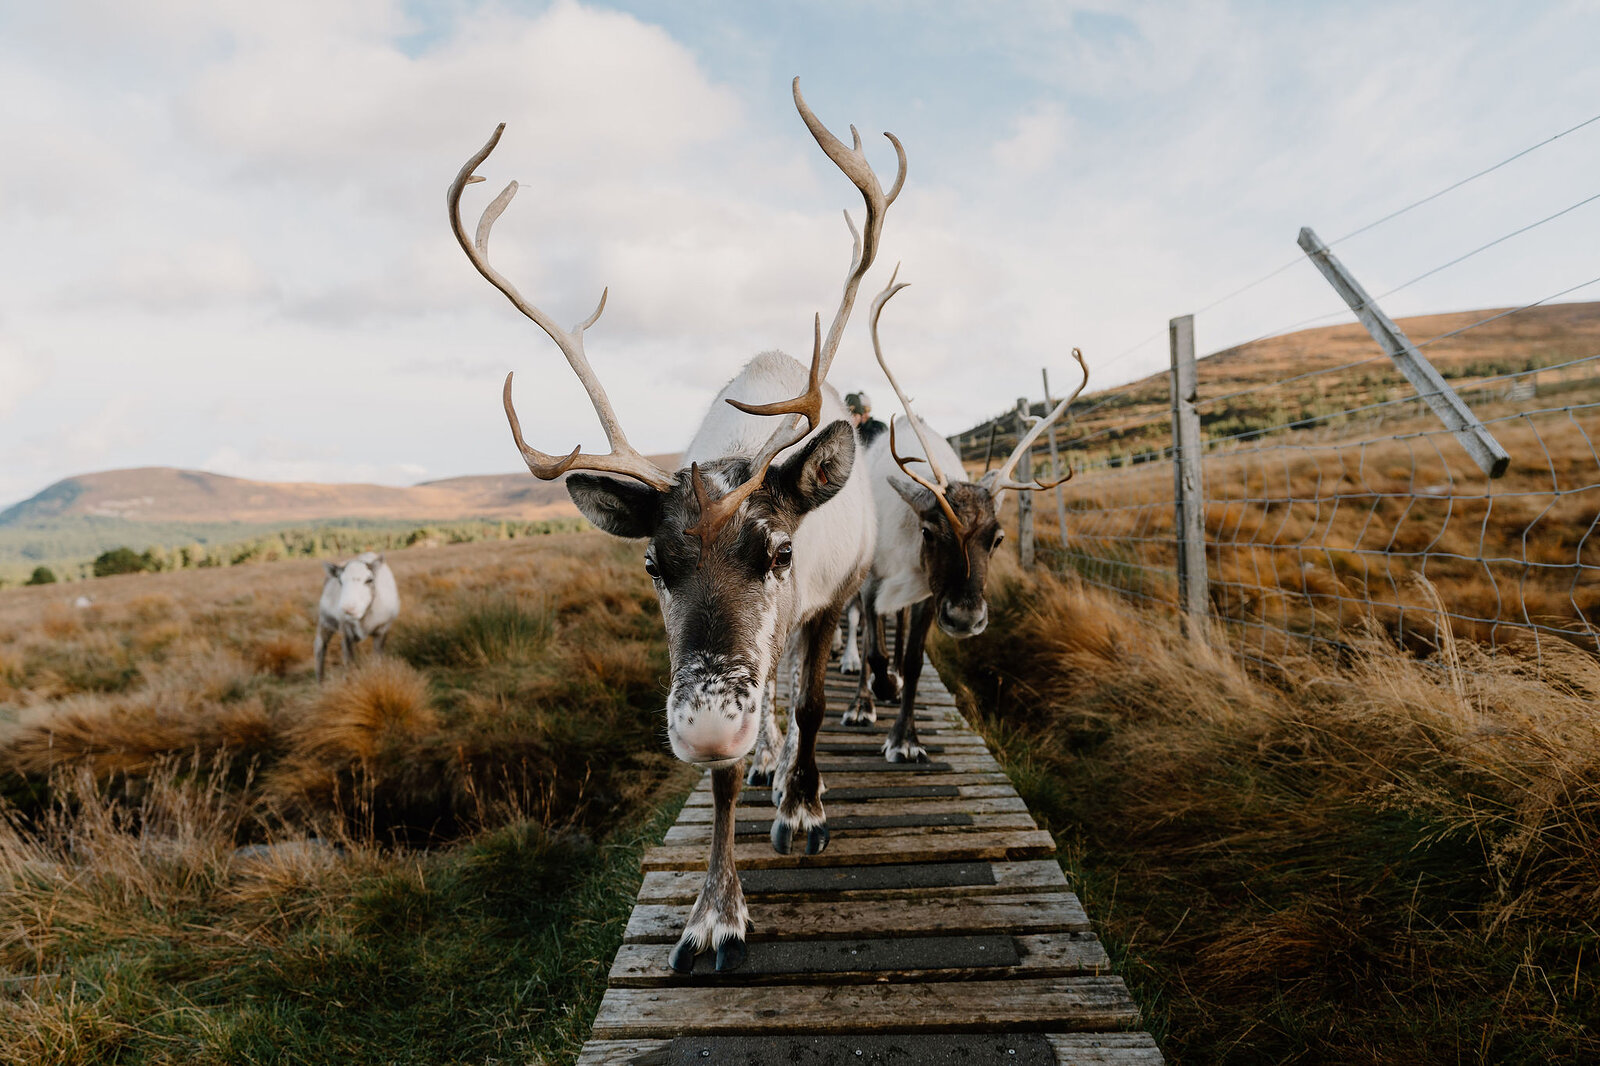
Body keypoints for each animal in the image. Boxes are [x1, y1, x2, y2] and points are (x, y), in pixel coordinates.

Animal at [447, 78, 904, 974]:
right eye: (653, 566)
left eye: (782, 551)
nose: (706, 727)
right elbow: (730, 773)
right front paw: (715, 912)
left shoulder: (827, 599)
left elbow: (811, 705)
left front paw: (803, 811)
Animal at [844, 269, 1088, 761]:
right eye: (930, 531)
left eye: (997, 539)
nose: (965, 619)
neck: (907, 544)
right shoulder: (875, 579)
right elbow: (874, 646)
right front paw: (878, 691)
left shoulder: (926, 592)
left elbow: (913, 660)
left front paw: (906, 738)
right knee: (861, 627)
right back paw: (863, 699)